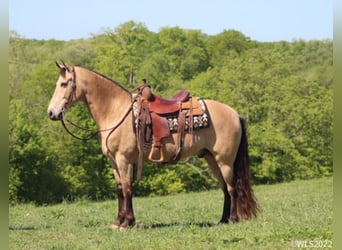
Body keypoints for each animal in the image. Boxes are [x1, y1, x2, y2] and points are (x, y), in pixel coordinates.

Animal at [47, 63, 256, 230]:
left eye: (64, 84)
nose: (51, 113)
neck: (116, 111)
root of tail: (235, 114)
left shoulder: (124, 160)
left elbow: (127, 189)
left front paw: (127, 223)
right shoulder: (114, 161)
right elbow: (119, 190)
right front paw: (118, 222)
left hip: (225, 161)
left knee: (232, 188)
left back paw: (233, 219)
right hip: (212, 159)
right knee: (224, 188)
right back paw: (223, 220)